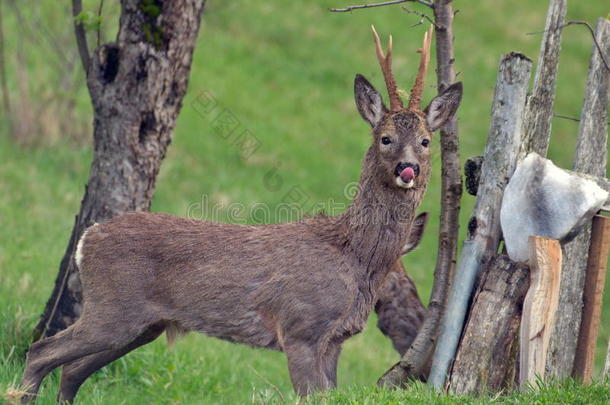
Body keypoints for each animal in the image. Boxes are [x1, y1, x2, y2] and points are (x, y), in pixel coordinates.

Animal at [20, 25, 460, 400]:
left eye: (425, 141)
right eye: (385, 138)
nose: (408, 168)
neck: (351, 255)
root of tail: (88, 237)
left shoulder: (335, 340)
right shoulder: (300, 328)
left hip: (141, 324)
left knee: (70, 371)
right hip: (112, 308)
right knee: (40, 353)